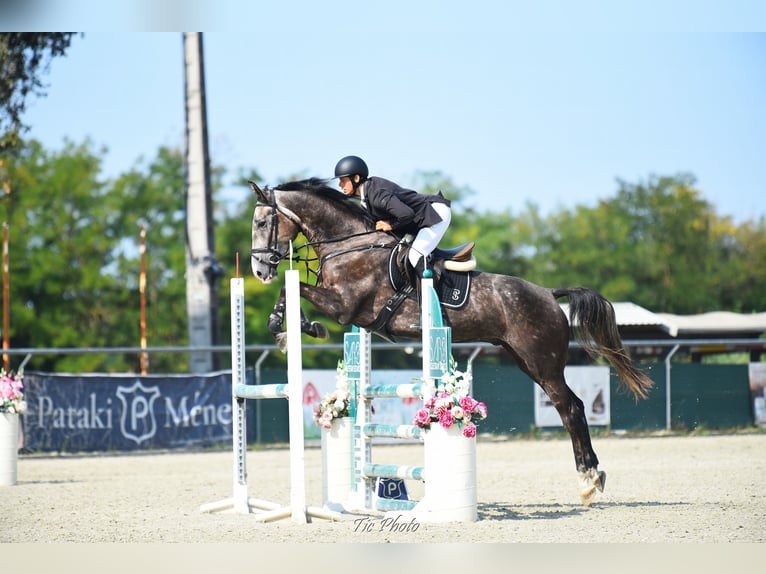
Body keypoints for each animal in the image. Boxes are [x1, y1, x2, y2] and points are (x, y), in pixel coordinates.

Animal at [249, 177, 653, 506]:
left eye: (262, 222)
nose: (258, 270)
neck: (349, 245)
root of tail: (550, 294)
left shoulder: (346, 306)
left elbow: (296, 289)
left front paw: (289, 327)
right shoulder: (348, 311)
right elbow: (296, 291)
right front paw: (290, 326)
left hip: (543, 362)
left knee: (570, 409)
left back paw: (589, 479)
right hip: (523, 358)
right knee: (571, 406)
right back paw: (590, 478)